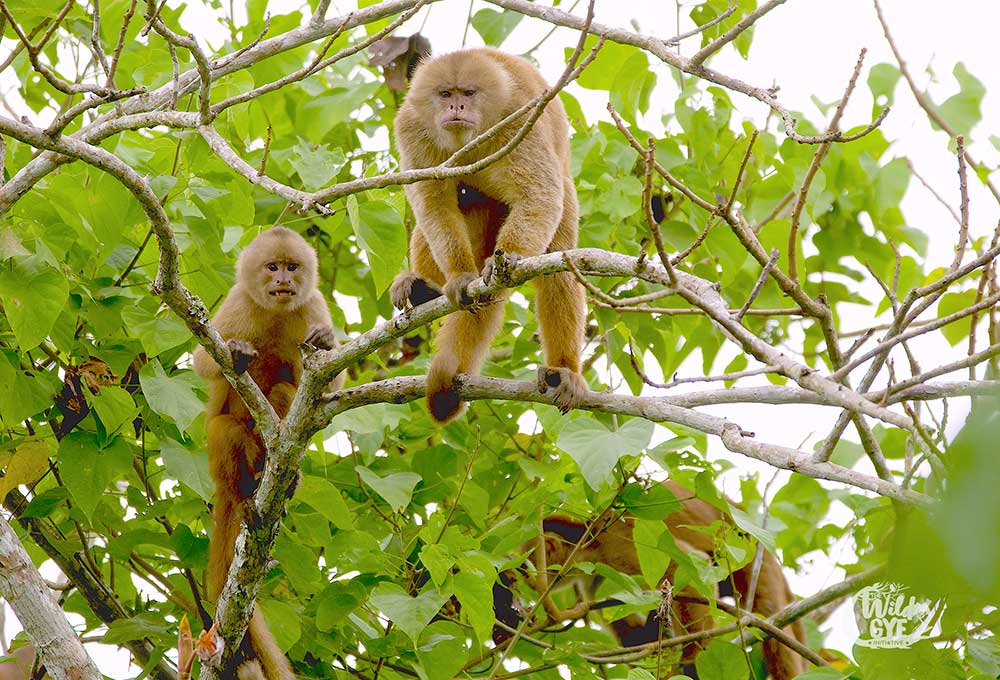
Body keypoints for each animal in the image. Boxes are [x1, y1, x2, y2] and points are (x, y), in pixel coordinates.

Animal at [193, 227, 346, 680]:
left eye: (292, 267)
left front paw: (327, 344)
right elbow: (204, 361)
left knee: (282, 389)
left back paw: (277, 473)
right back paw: (248, 487)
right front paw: (238, 352)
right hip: (223, 469)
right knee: (223, 429)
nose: (283, 280)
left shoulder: (314, 306)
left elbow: (328, 383)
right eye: (272, 266)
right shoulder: (237, 302)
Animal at [390, 47, 588, 422]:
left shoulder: (517, 118)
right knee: (455, 205)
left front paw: (507, 259)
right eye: (445, 94)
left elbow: (539, 196)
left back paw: (564, 369)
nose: (457, 107)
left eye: (468, 93)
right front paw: (459, 277)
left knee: (558, 261)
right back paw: (423, 287)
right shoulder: (412, 127)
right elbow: (434, 206)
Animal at [504, 480, 808, 676]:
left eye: (526, 567)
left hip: (752, 557)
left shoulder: (619, 543)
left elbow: (689, 565)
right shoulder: (593, 579)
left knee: (770, 621)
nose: (523, 580)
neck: (589, 541)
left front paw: (695, 657)